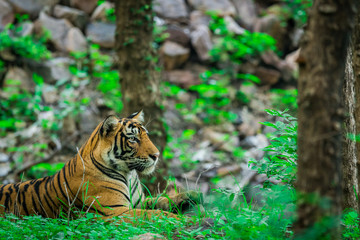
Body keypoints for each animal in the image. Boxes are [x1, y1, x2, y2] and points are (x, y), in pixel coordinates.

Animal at [0, 111, 202, 222]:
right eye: (133, 139)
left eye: (146, 135)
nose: (157, 155)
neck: (128, 174)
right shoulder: (115, 211)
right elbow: (154, 215)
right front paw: (180, 220)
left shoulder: (138, 202)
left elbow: (162, 200)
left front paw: (191, 195)